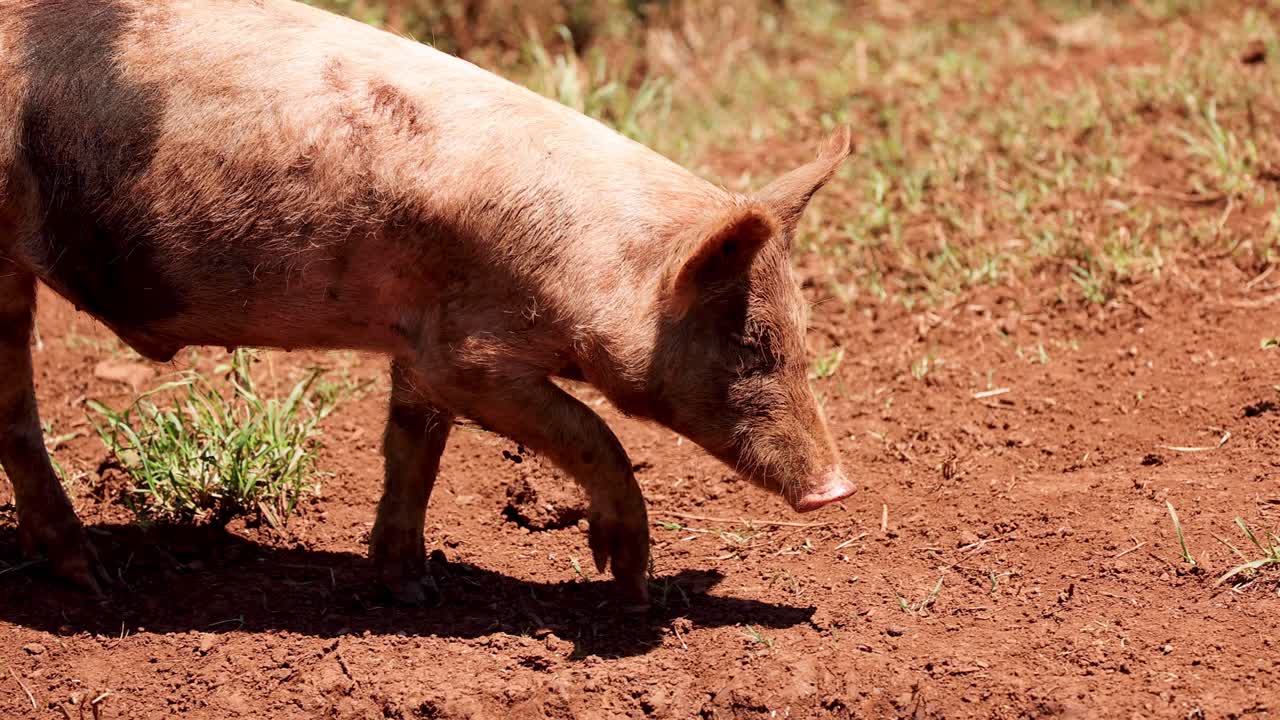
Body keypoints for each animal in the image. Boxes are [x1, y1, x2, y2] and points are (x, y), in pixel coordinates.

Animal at [0, 0, 854, 605]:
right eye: (750, 344)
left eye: (803, 332)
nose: (839, 488)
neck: (598, 271)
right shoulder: (470, 357)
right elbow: (594, 432)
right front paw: (631, 588)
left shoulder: (420, 337)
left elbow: (416, 447)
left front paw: (411, 586)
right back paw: (96, 580)